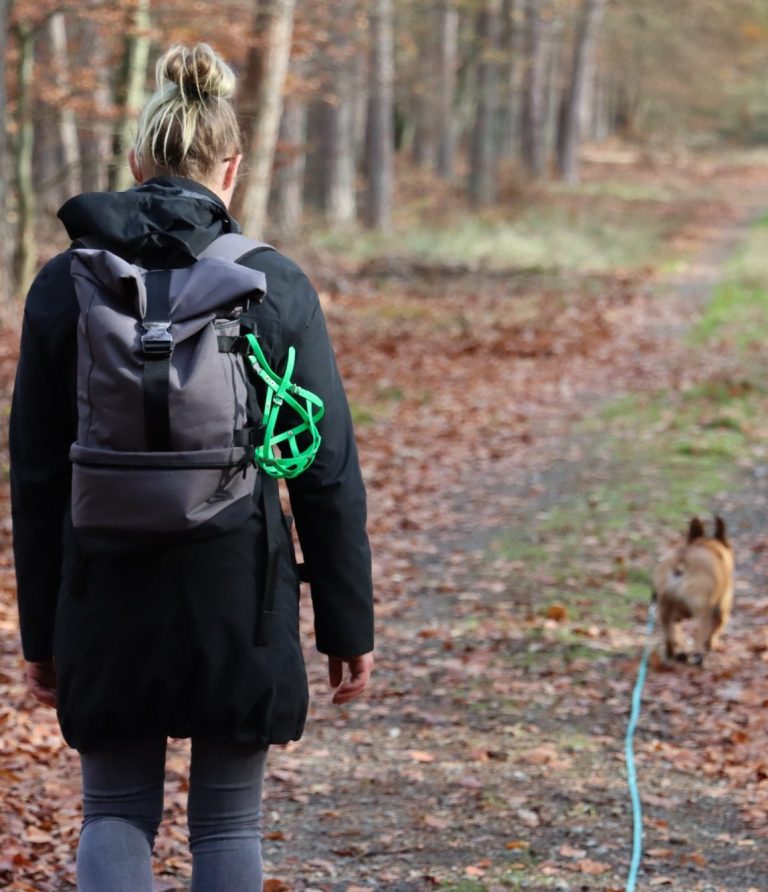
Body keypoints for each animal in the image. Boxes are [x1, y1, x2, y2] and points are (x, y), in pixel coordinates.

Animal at [652, 516, 736, 664]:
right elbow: (716, 629)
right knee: (698, 631)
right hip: (702, 610)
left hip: (665, 608)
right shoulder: (722, 607)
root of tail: (680, 563)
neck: (707, 547)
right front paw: (711, 645)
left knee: (669, 633)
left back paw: (674, 652)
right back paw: (698, 656)